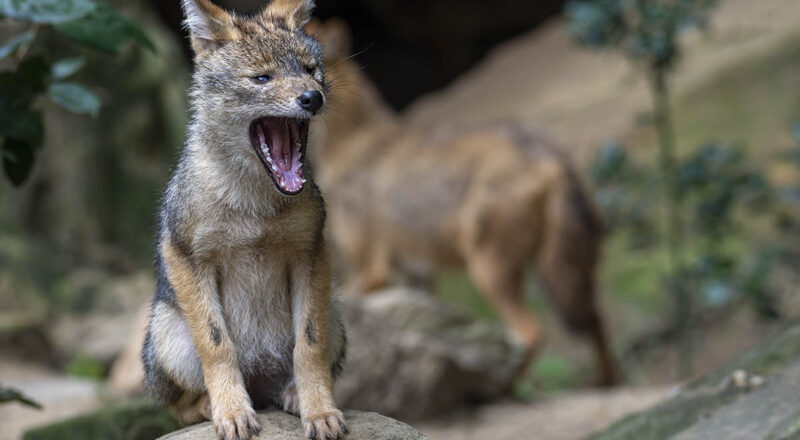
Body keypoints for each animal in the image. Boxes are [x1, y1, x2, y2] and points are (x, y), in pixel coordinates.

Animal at [140, 2, 348, 440]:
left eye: (310, 70)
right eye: (263, 78)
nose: (312, 97)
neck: (255, 207)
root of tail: (260, 383)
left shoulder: (312, 252)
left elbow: (310, 345)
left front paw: (320, 411)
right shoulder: (184, 255)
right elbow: (217, 345)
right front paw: (232, 412)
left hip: (334, 311)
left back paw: (290, 395)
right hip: (167, 332)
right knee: (178, 408)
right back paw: (212, 406)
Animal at [307, 19, 618, 386]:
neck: (349, 141)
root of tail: (550, 154)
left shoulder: (369, 268)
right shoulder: (415, 275)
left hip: (488, 270)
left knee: (531, 333)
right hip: (557, 272)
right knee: (595, 319)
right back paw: (605, 381)